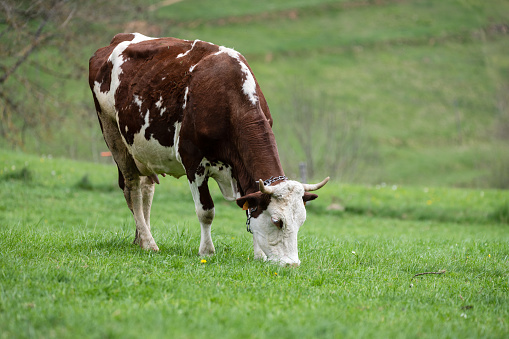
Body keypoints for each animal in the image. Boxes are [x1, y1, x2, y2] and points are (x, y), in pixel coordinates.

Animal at [89, 33, 328, 268]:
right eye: (277, 221)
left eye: (302, 221)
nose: (292, 264)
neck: (228, 97)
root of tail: (117, 39)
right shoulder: (193, 161)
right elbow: (206, 211)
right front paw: (207, 251)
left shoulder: (239, 168)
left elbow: (249, 206)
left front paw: (259, 254)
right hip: (114, 136)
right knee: (132, 189)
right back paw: (149, 243)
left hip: (143, 152)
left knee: (146, 189)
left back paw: (140, 238)